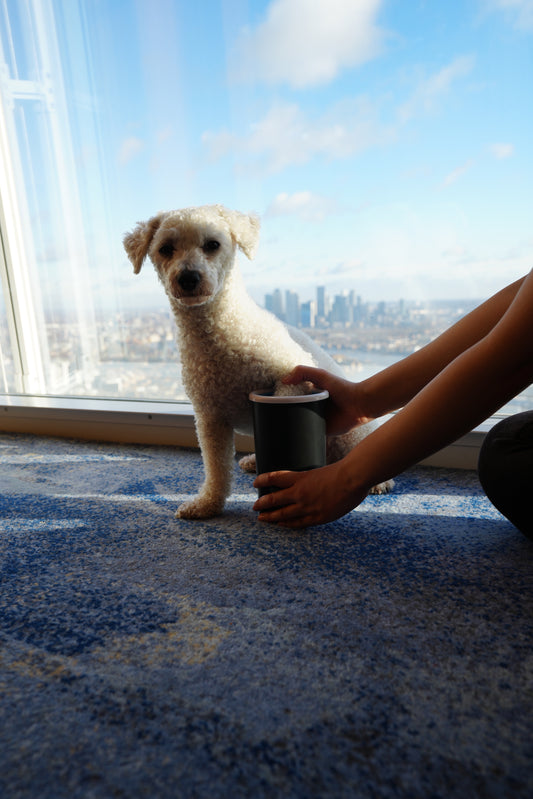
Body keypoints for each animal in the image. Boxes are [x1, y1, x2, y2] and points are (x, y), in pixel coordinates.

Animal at [123, 203, 390, 520]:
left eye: (212, 244)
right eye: (166, 249)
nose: (188, 278)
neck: (219, 332)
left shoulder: (295, 376)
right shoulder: (209, 416)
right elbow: (216, 468)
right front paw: (207, 504)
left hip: (349, 434)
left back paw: (379, 482)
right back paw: (252, 460)